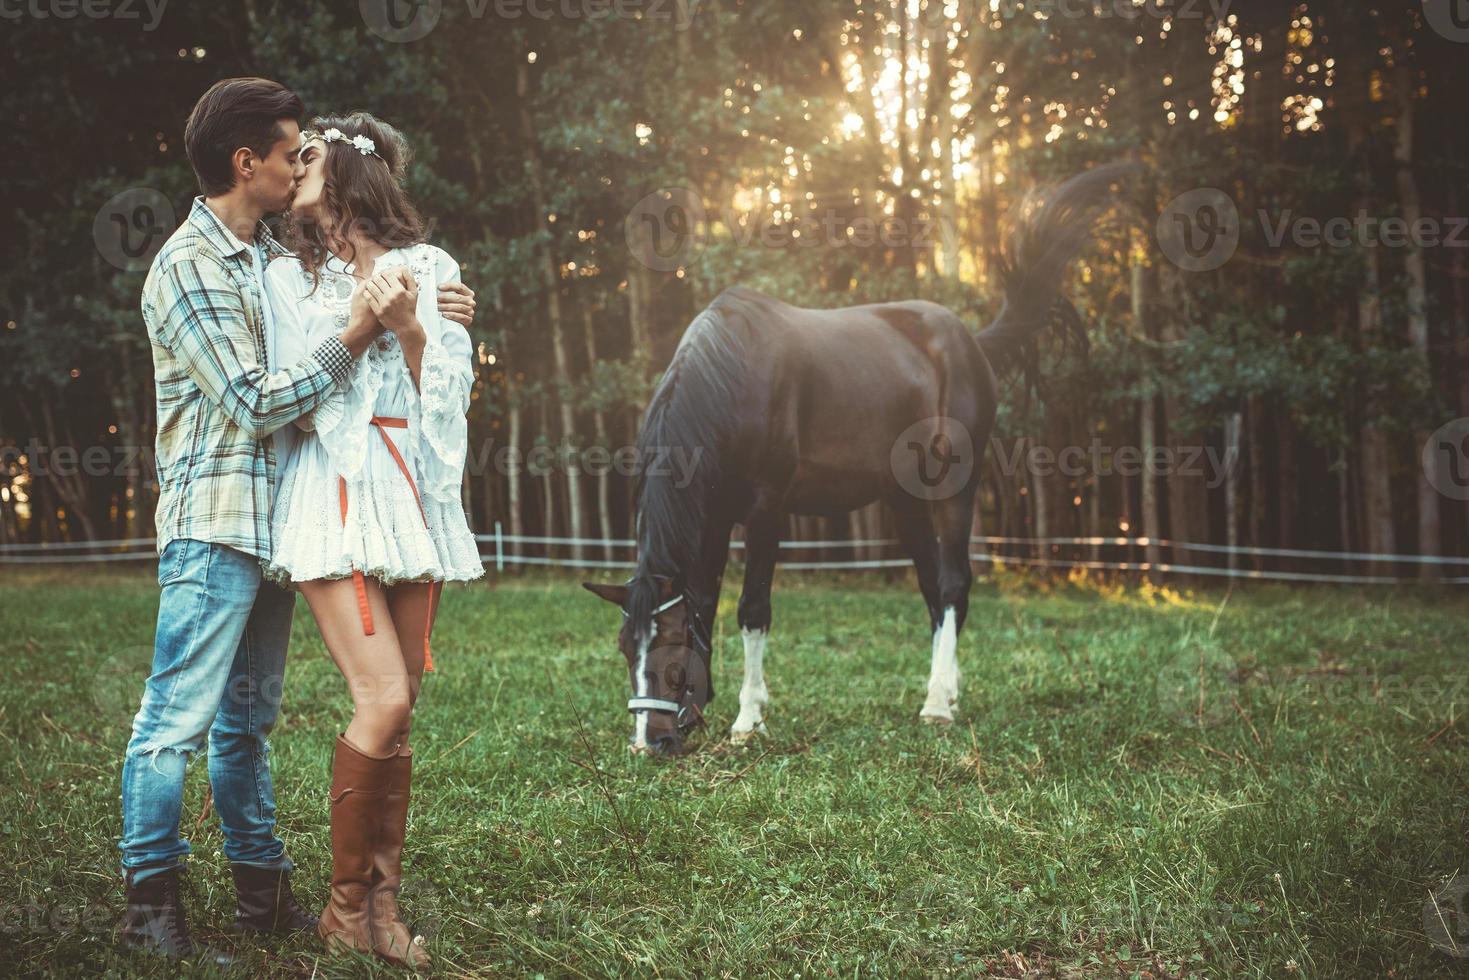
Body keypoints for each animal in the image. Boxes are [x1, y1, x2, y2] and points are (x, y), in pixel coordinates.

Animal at [581, 164, 1122, 758]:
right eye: (624, 646)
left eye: (671, 644)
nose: (648, 743)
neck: (730, 381)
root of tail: (970, 342)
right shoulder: (715, 515)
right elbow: (708, 600)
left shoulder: (766, 510)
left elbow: (752, 609)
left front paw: (748, 719)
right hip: (904, 499)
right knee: (934, 592)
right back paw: (946, 692)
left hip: (955, 487)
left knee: (954, 584)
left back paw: (937, 705)